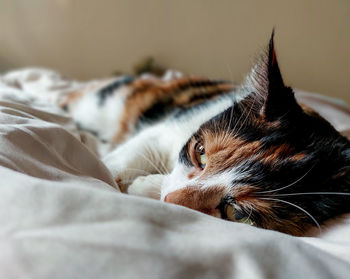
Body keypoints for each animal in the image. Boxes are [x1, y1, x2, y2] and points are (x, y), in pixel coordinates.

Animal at [61, 32, 348, 236]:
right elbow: (132, 154)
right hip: (105, 104)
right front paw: (110, 177)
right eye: (200, 153)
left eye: (237, 214)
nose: (170, 199)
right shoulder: (169, 128)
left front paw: (147, 186)